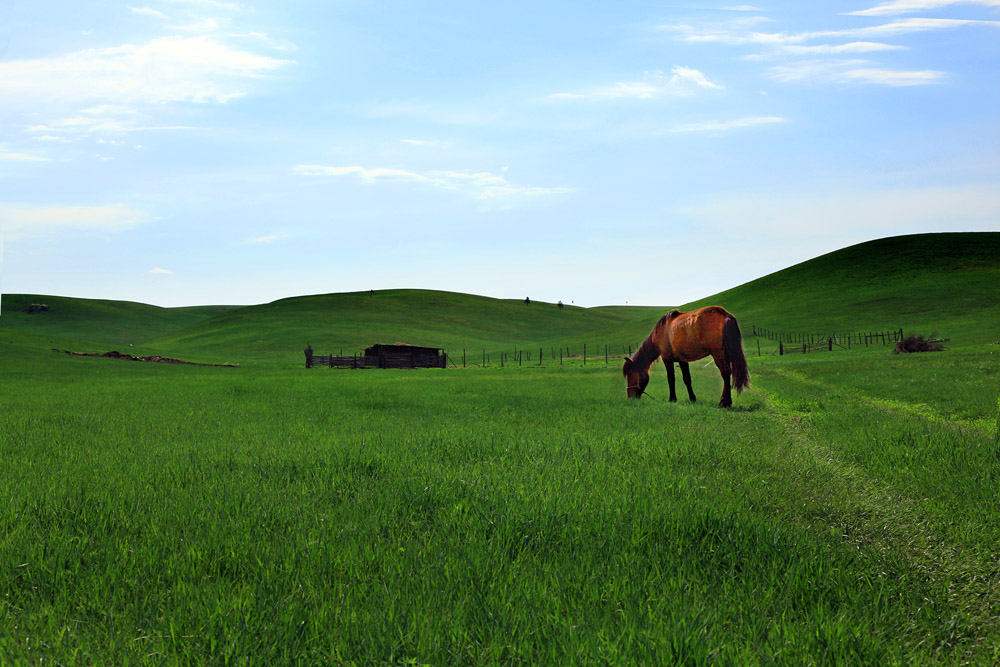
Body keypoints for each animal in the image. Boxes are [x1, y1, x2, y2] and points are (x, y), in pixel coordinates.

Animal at [624, 306, 752, 408]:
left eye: (630, 374)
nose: (630, 397)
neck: (661, 332)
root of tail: (726, 315)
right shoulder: (682, 360)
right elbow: (687, 379)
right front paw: (692, 398)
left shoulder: (667, 359)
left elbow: (671, 379)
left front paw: (672, 399)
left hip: (718, 354)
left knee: (725, 373)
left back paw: (724, 402)